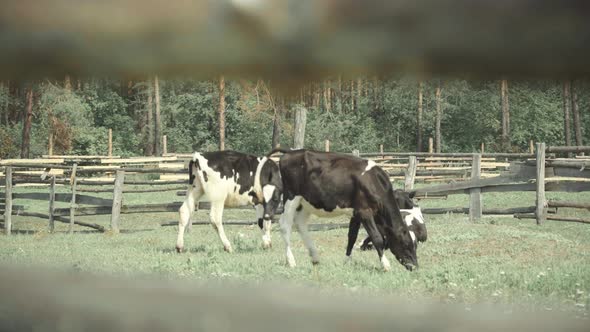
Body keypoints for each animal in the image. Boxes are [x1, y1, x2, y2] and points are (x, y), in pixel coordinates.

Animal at [270, 149, 424, 272]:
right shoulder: (364, 212)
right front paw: (385, 265)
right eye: (406, 244)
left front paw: (347, 261)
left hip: (306, 202)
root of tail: (291, 152)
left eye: (415, 245)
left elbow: (352, 236)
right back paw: (291, 261)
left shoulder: (356, 213)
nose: (415, 266)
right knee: (285, 225)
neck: (373, 182)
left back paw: (315, 257)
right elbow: (377, 238)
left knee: (300, 223)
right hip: (291, 197)